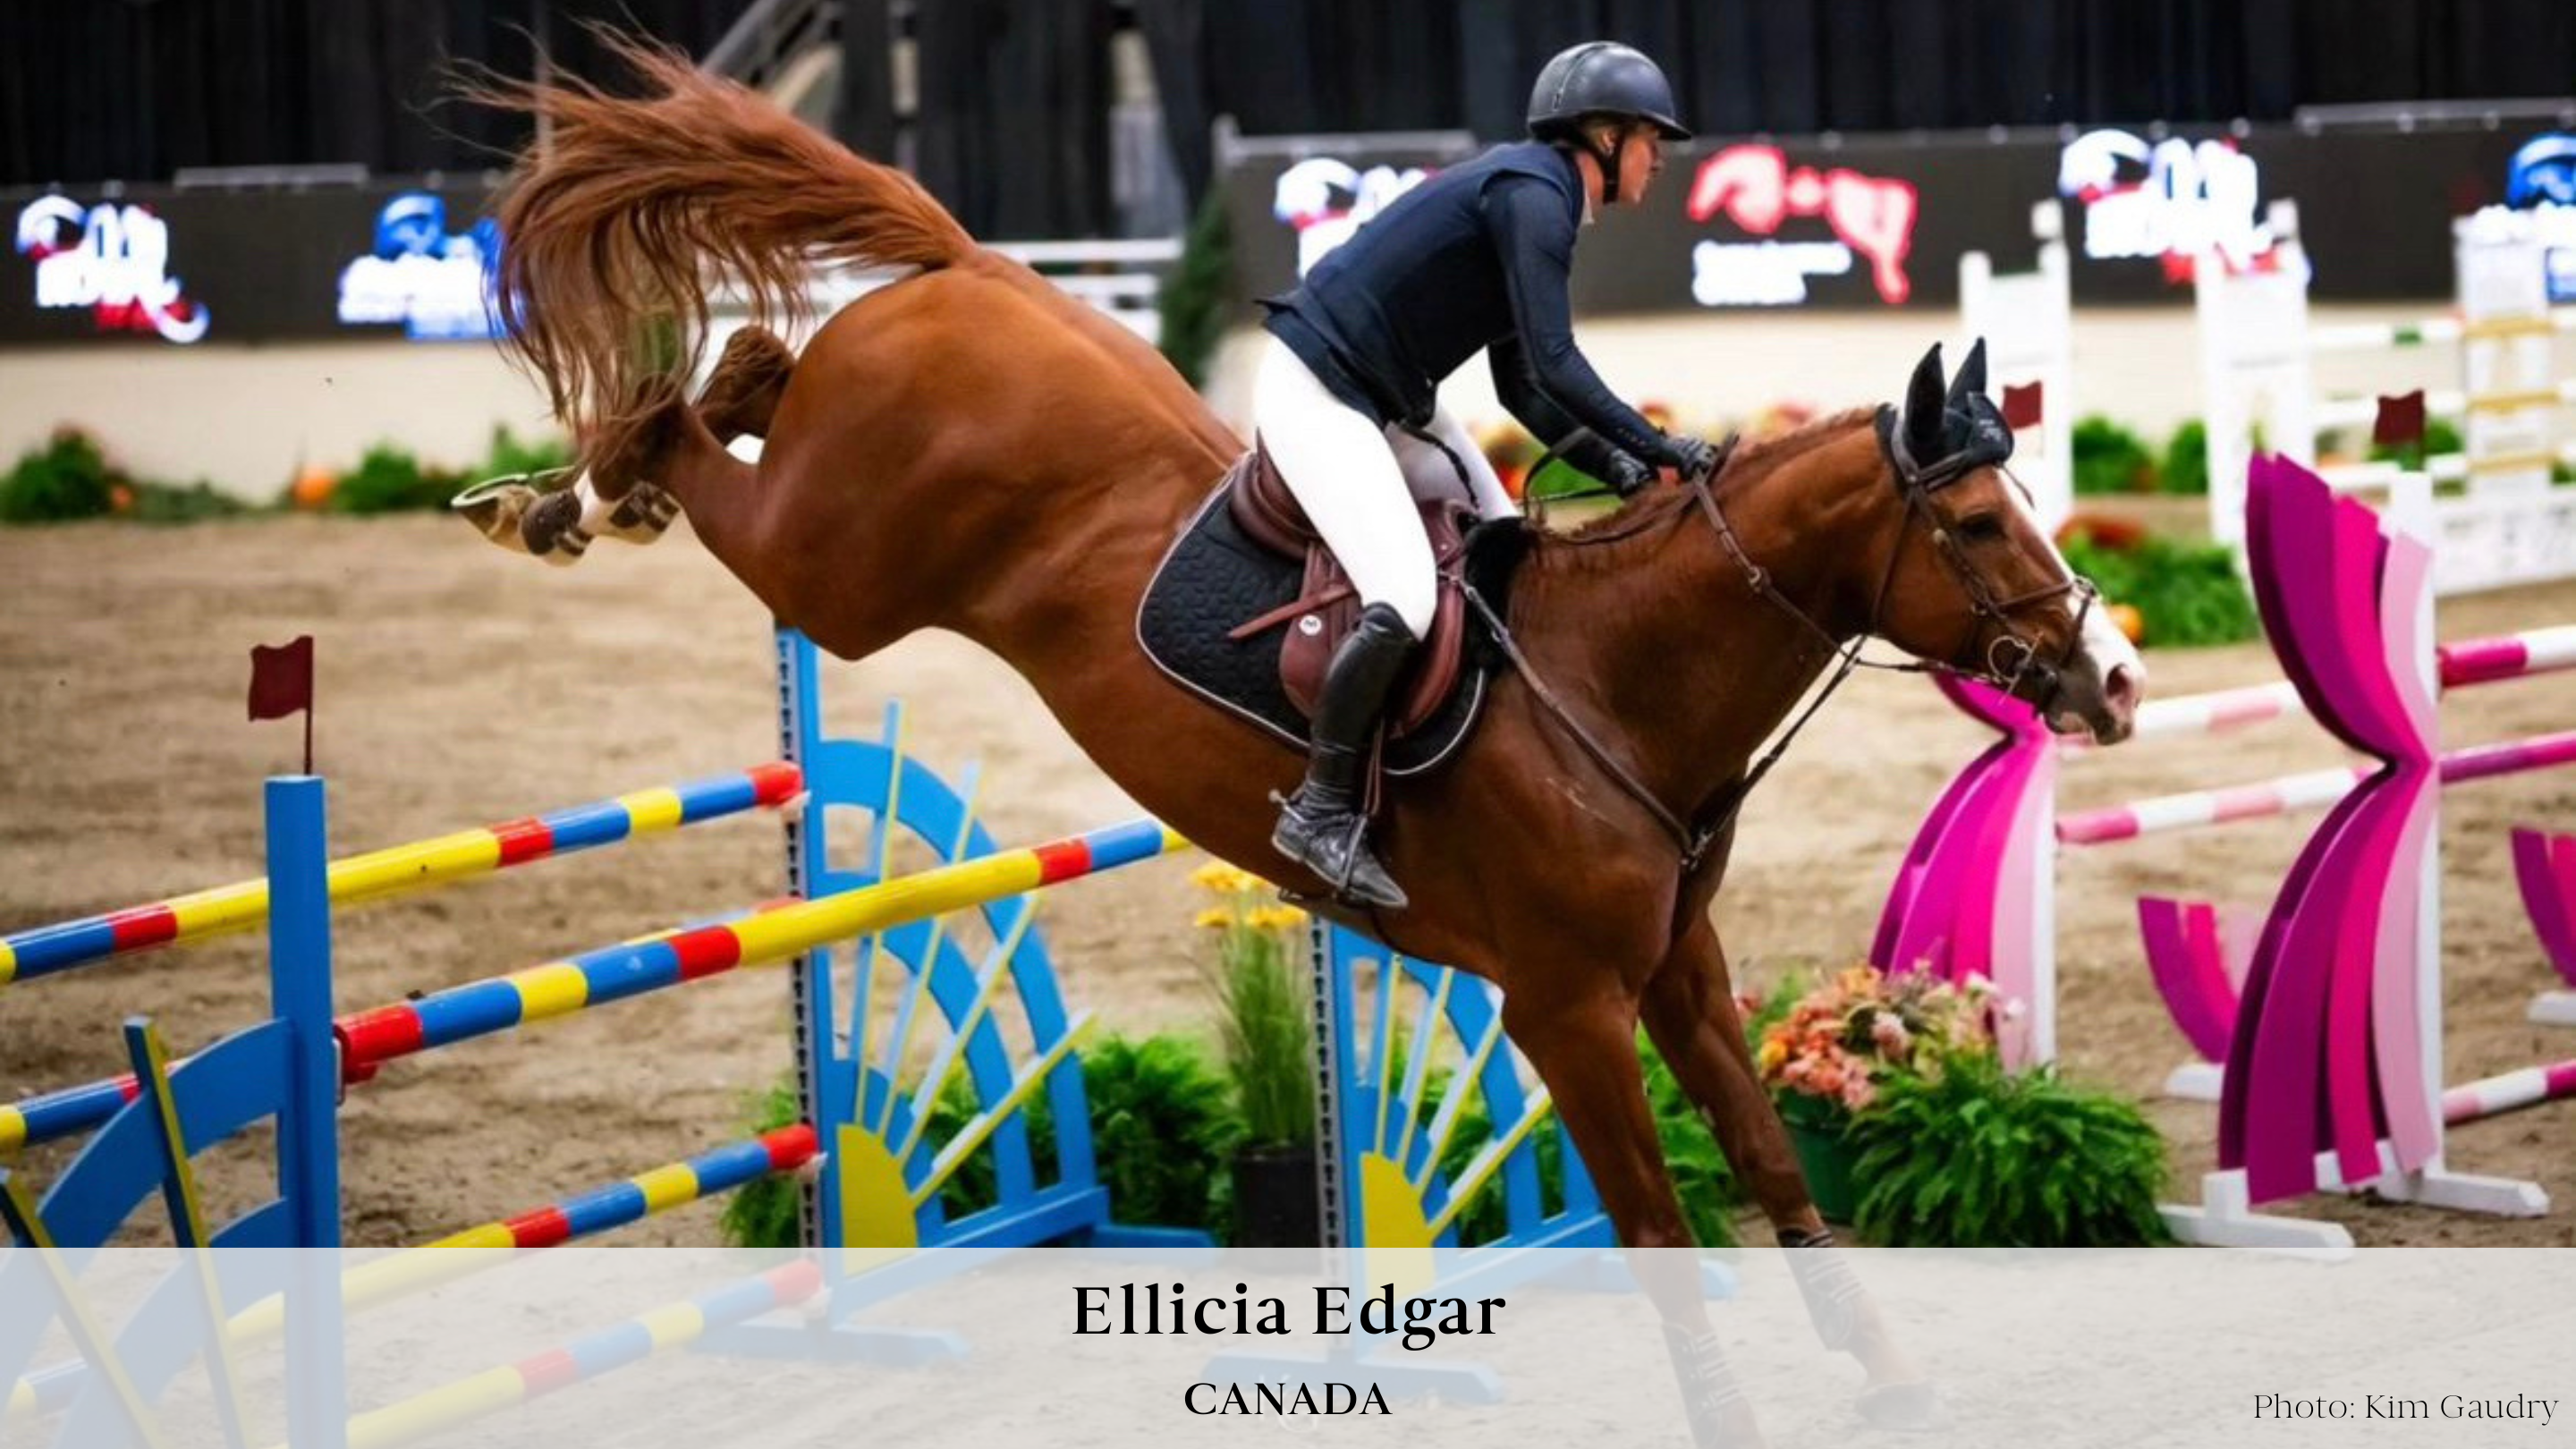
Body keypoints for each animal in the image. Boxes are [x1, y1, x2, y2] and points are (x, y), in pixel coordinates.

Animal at [457, 38, 2141, 1439]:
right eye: (1980, 522)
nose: (2116, 680)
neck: (1617, 684)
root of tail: (965, 263)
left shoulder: (1678, 967)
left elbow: (1776, 1169)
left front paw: (1894, 1380)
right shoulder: (1565, 1007)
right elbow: (1662, 1227)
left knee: (746, 373)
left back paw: (568, 490)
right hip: (841, 577)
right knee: (703, 424)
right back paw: (562, 502)